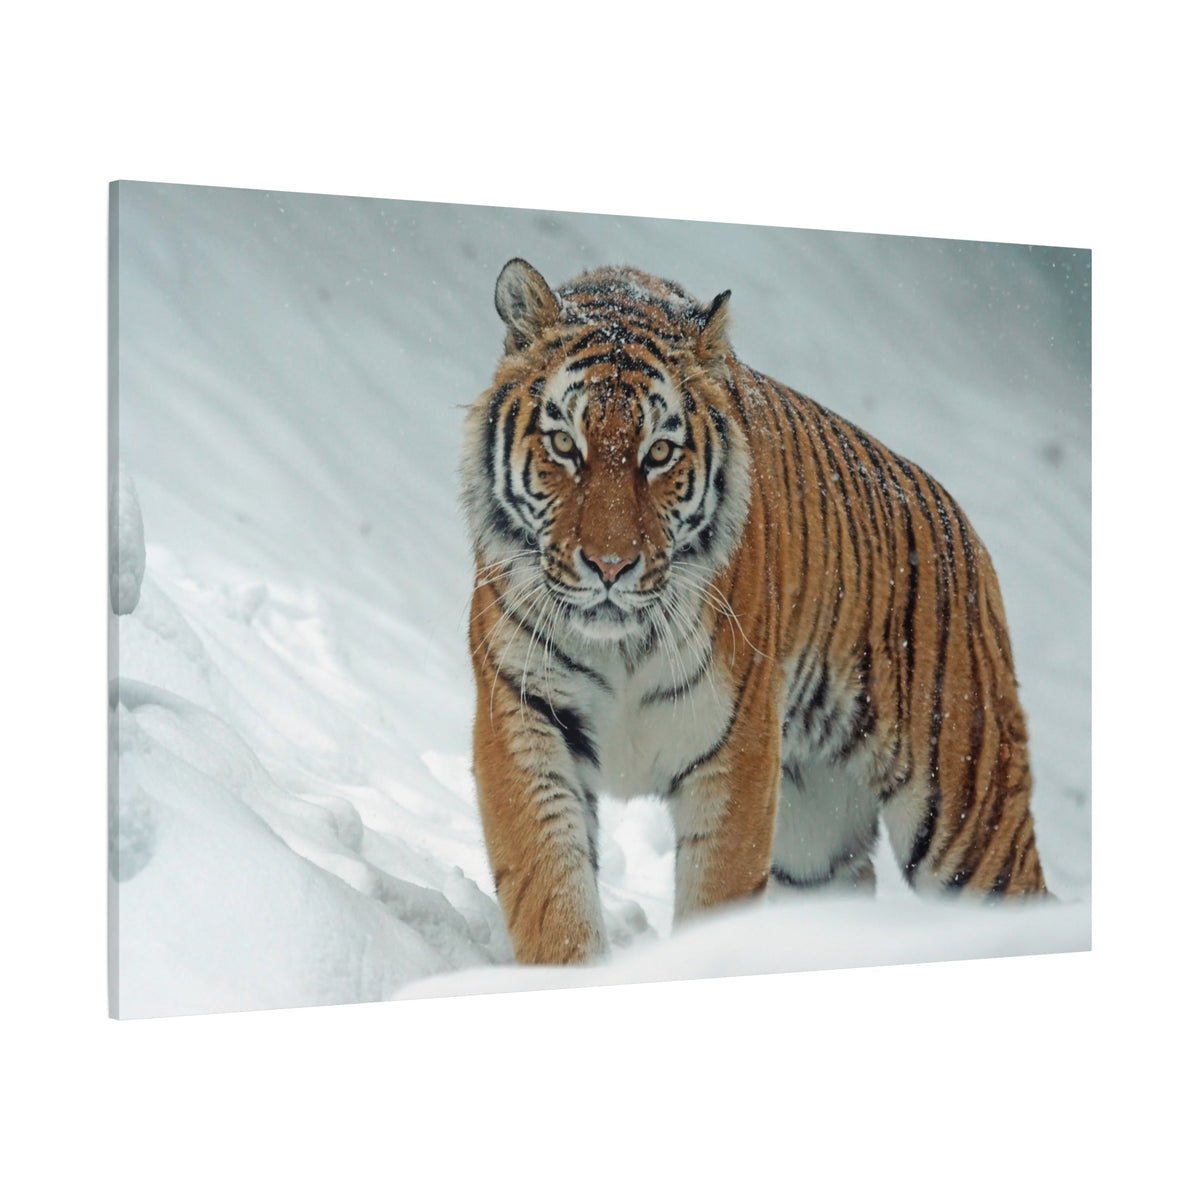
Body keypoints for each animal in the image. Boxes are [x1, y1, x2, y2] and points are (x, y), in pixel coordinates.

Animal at [461, 257, 1048, 966]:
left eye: (659, 453)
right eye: (564, 445)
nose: (610, 566)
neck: (621, 643)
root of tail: (965, 529)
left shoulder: (735, 751)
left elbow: (717, 894)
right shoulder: (523, 716)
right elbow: (551, 892)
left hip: (968, 817)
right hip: (815, 838)